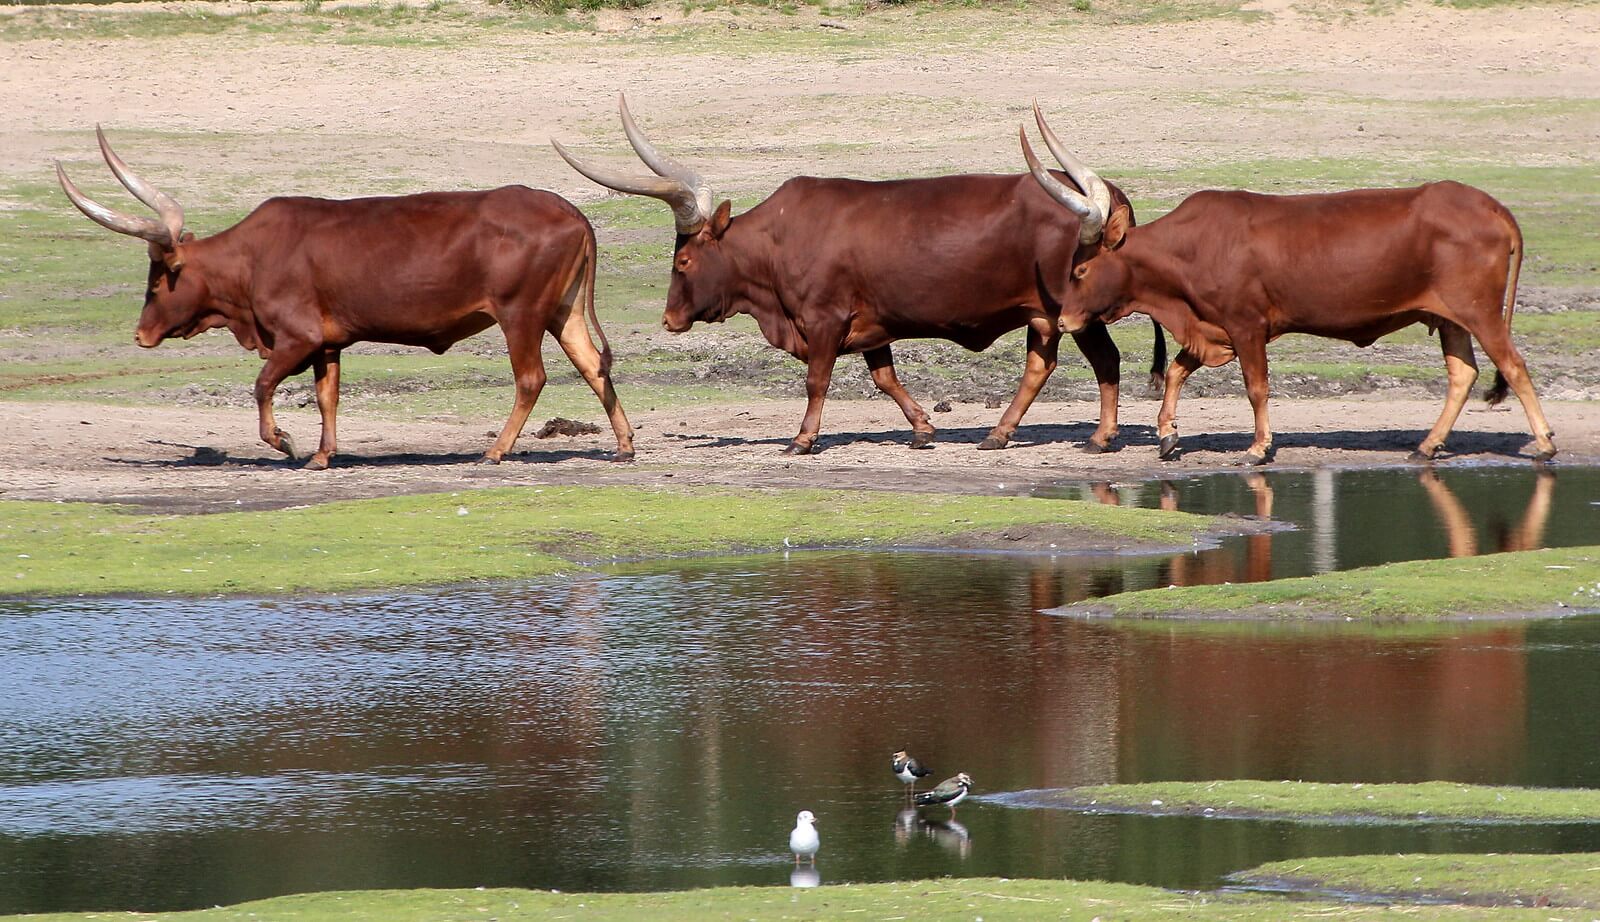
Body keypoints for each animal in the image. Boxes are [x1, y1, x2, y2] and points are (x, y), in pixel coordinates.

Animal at [58, 128, 630, 467]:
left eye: (158, 281)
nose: (141, 333)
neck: (251, 255)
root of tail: (570, 210)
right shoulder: (327, 343)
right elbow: (326, 395)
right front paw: (322, 454)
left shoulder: (296, 336)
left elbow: (262, 386)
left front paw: (284, 442)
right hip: (562, 312)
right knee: (592, 366)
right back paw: (624, 443)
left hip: (521, 315)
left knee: (531, 378)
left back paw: (495, 450)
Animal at [553, 96, 1164, 454]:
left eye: (682, 262)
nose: (669, 318)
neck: (779, 240)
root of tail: (1103, 196)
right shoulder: (872, 324)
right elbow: (884, 378)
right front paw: (922, 429)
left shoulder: (823, 319)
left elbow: (817, 380)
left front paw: (802, 439)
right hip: (1045, 315)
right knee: (1043, 364)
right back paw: (999, 433)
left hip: (1073, 310)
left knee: (1103, 361)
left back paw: (1100, 437)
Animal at [1017, 120, 1555, 467]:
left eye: (1081, 268)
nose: (1062, 321)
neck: (1192, 247)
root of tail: (1489, 205)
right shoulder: (1212, 326)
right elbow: (1176, 370)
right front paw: (1168, 434)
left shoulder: (1246, 325)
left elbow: (1255, 386)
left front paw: (1258, 448)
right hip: (1449, 318)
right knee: (1463, 373)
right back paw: (1427, 445)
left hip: (1479, 311)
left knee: (1513, 365)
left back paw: (1545, 444)